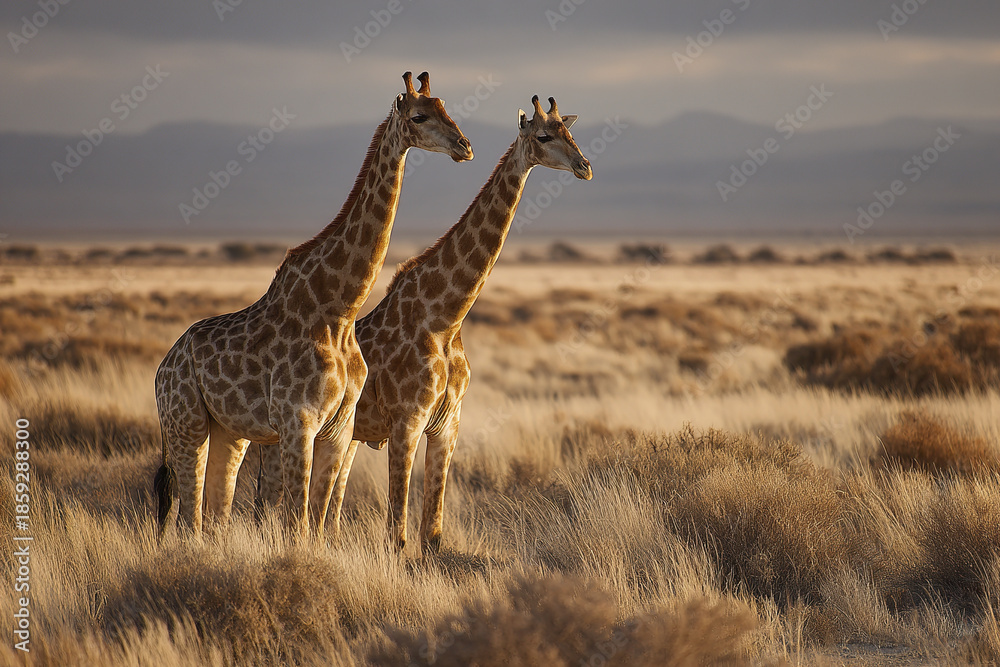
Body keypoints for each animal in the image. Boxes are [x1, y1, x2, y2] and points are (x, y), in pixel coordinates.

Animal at [153, 71, 473, 541]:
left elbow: (317, 525)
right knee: (188, 516)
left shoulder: (338, 429)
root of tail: (162, 367)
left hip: (229, 432)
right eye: (419, 116)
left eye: (445, 107)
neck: (337, 309)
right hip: (185, 424)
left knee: (213, 512)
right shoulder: (297, 424)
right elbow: (297, 523)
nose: (464, 146)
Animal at [256, 95, 591, 552]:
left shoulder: (448, 423)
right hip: (286, 437)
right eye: (543, 136)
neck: (446, 317)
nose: (584, 166)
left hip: (345, 438)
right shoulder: (407, 421)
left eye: (569, 131)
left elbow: (432, 532)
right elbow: (397, 533)